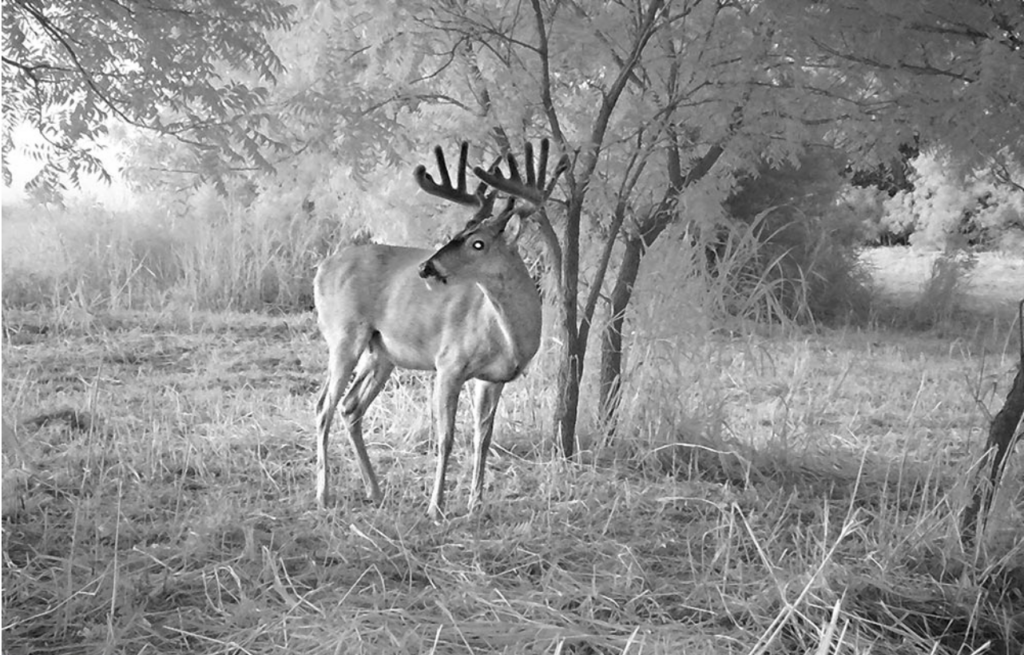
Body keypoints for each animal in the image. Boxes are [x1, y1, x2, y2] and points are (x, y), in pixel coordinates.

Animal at [311, 139, 569, 521]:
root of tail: (321, 268)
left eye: (477, 242)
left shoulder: (493, 378)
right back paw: (324, 495)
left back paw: (375, 491)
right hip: (343, 336)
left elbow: (483, 437)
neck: (507, 334)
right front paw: (436, 507)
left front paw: (476, 503)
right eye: (458, 233)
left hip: (381, 353)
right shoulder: (449, 364)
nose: (426, 267)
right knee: (323, 407)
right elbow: (446, 437)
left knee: (350, 407)